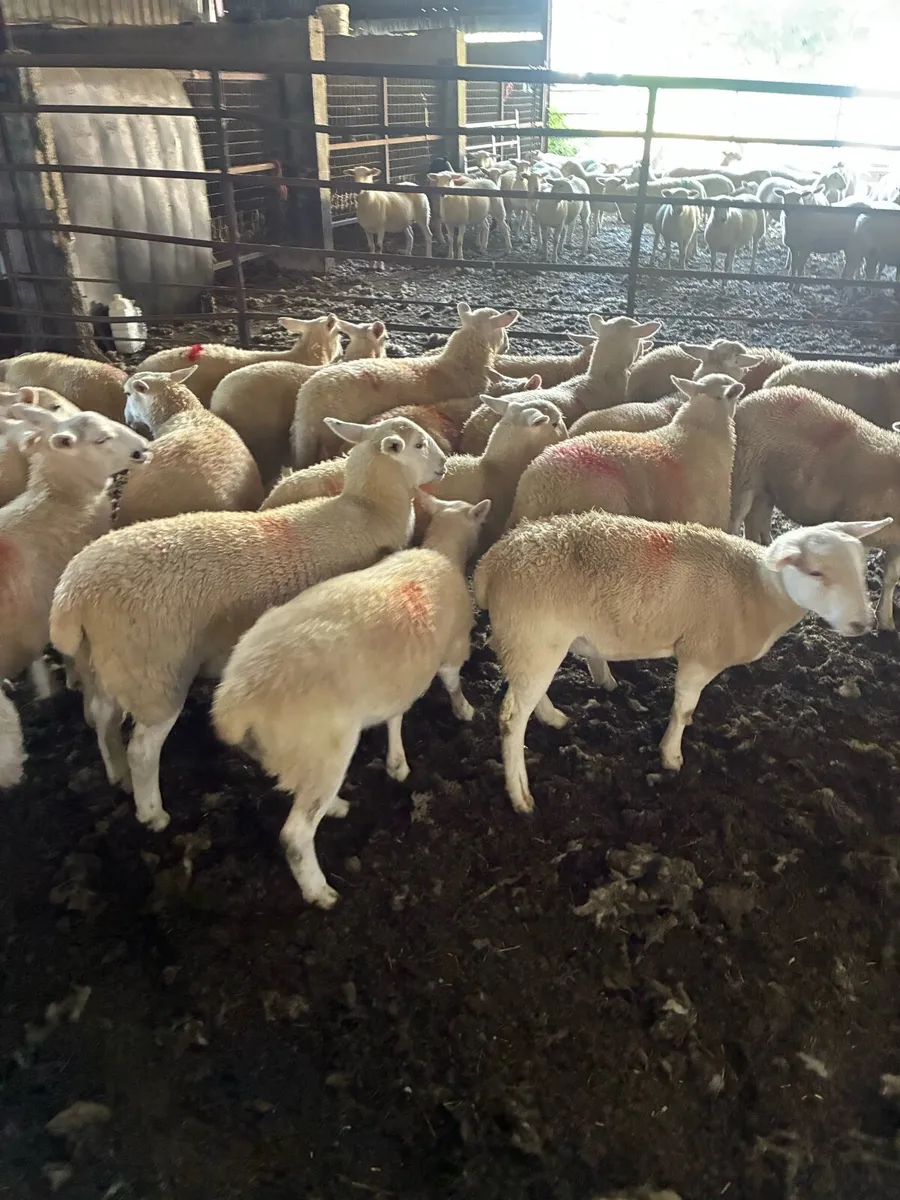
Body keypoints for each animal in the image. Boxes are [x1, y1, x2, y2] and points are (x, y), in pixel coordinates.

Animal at [50, 416, 446, 832]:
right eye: (419, 445)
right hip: (155, 672)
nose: (443, 466)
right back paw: (153, 812)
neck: (369, 510)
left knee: (103, 717)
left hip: (107, 664)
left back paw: (117, 775)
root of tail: (72, 594)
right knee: (142, 749)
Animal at [211, 493, 489, 906]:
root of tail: (235, 701)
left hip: (284, 750)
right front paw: (465, 710)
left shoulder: (397, 679)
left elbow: (395, 717)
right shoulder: (454, 648)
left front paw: (397, 763)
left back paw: (335, 806)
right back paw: (319, 890)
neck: (441, 552)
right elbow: (453, 683)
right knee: (295, 834)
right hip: (325, 748)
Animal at [473, 511, 888, 812]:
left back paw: (553, 717)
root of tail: (491, 563)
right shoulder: (700, 654)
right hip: (535, 637)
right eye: (816, 572)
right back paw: (520, 795)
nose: (864, 625)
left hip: (528, 643)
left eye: (861, 569)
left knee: (524, 693)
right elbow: (683, 709)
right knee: (512, 718)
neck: (756, 591)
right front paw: (671, 757)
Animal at [730, 386, 900, 629]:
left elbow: (891, 578)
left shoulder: (896, 541)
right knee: (736, 520)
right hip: (745, 473)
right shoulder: (859, 519)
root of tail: (760, 394)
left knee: (756, 522)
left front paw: (886, 621)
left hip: (767, 488)